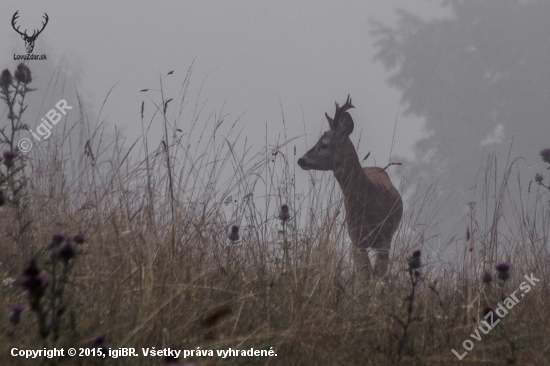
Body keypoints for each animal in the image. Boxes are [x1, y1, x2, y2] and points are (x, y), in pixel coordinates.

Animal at [300, 95, 404, 280]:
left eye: (324, 144)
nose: (301, 160)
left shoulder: (385, 238)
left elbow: (378, 275)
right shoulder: (356, 238)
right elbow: (364, 276)